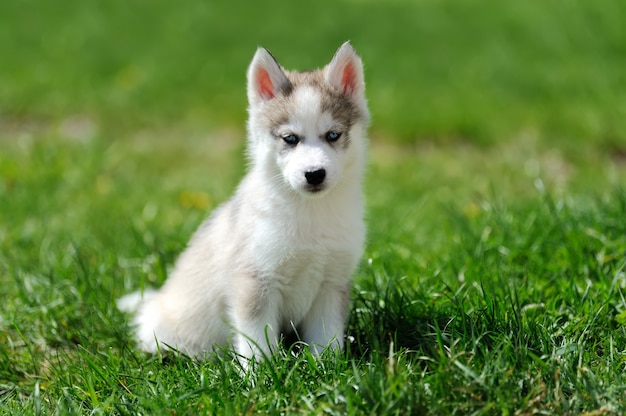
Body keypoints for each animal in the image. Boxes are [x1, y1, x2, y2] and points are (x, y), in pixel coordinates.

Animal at [118, 40, 366, 362]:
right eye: (290, 139)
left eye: (333, 135)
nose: (314, 174)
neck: (310, 214)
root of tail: (155, 302)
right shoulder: (254, 281)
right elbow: (257, 343)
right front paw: (260, 373)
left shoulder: (331, 283)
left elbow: (327, 339)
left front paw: (327, 368)